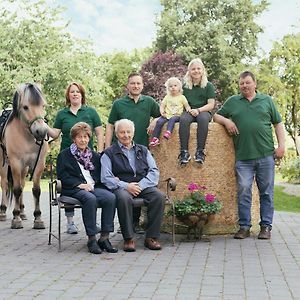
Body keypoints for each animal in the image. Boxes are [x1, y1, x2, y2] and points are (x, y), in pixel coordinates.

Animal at [0, 83, 47, 229]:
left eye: (43, 106)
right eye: (25, 107)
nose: (41, 132)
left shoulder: (39, 163)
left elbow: (36, 190)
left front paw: (38, 218)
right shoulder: (15, 163)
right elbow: (16, 189)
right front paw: (16, 218)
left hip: (24, 168)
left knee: (22, 182)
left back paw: (22, 211)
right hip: (4, 164)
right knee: (5, 184)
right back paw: (3, 212)